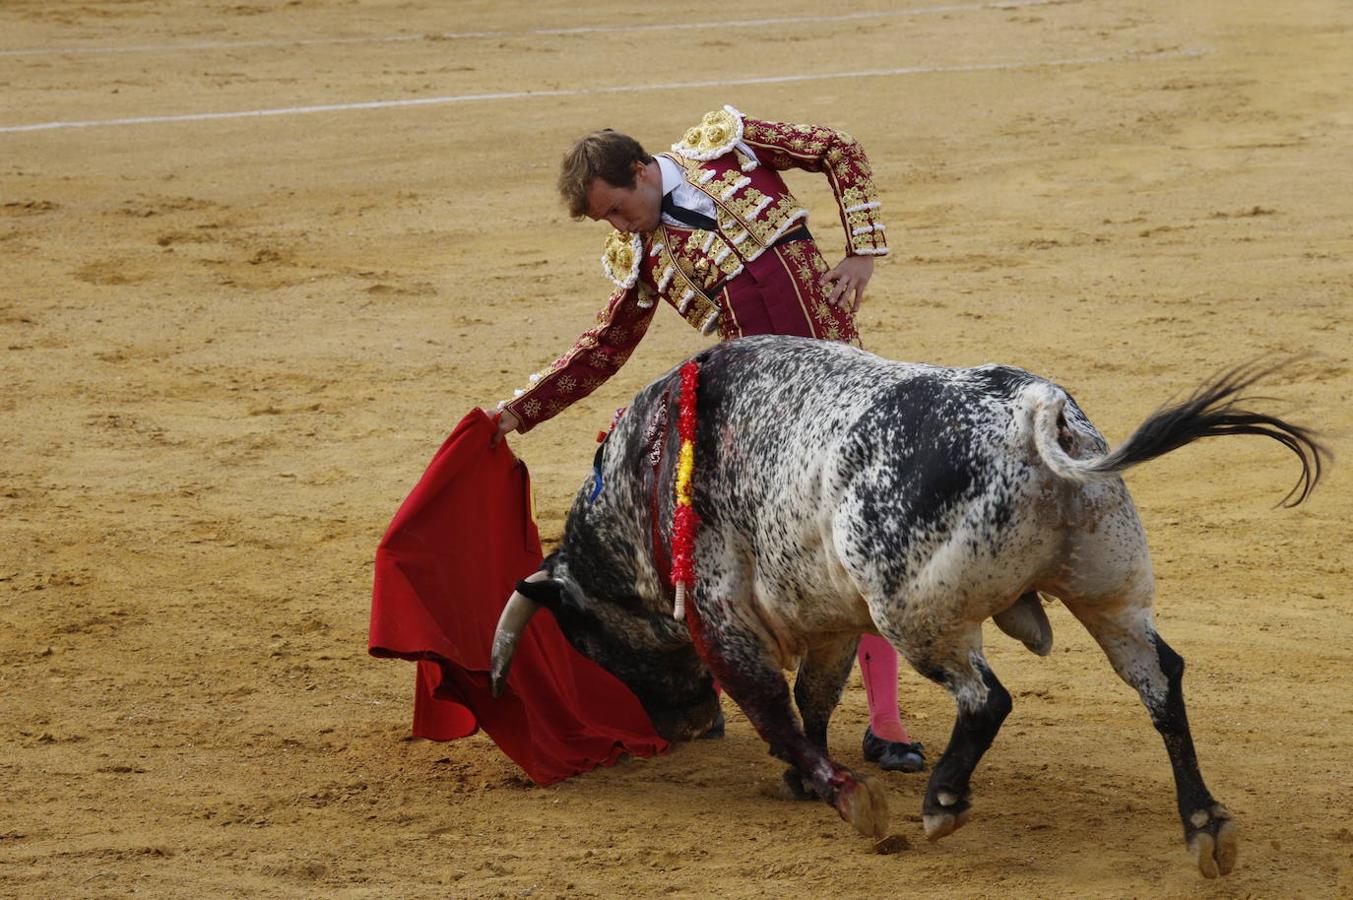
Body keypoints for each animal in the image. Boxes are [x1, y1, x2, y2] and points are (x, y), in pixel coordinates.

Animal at [484, 332, 1320, 871]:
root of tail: (1032, 409)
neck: (647, 472)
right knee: (1157, 680)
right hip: (1108, 590)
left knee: (985, 698)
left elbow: (773, 708)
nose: (684, 729)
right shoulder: (825, 618)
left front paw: (850, 800)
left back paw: (942, 802)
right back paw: (1205, 827)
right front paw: (808, 781)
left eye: (586, 643)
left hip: (915, 614)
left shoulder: (720, 617)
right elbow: (814, 699)